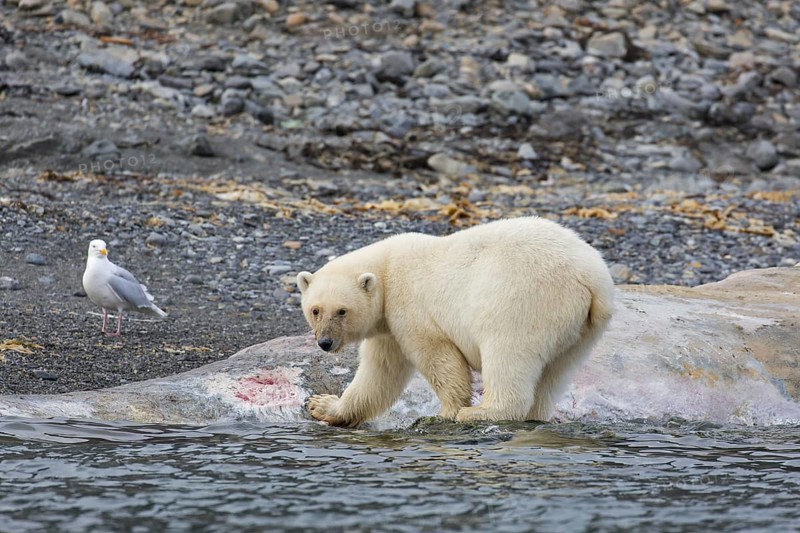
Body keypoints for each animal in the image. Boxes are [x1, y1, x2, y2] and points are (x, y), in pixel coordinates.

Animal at [297, 217, 614, 427]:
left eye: (342, 311)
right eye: (315, 310)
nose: (325, 342)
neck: (386, 267)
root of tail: (592, 277)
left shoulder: (410, 306)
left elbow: (437, 357)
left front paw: (447, 412)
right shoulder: (389, 326)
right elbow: (380, 373)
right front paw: (322, 405)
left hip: (525, 300)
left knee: (507, 354)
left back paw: (480, 412)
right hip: (581, 329)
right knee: (556, 372)